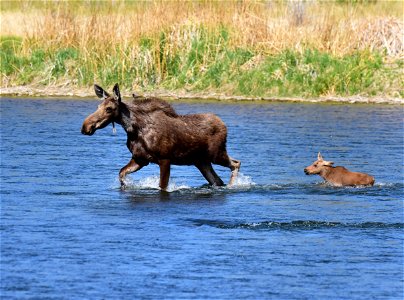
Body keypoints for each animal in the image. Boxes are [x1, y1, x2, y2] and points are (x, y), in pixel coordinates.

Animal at [81, 84, 240, 190]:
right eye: (97, 106)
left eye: (109, 109)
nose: (85, 127)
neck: (133, 130)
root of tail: (223, 124)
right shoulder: (140, 159)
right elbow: (121, 174)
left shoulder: (165, 159)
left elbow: (162, 186)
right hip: (201, 161)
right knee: (217, 180)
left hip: (216, 154)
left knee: (236, 163)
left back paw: (232, 186)